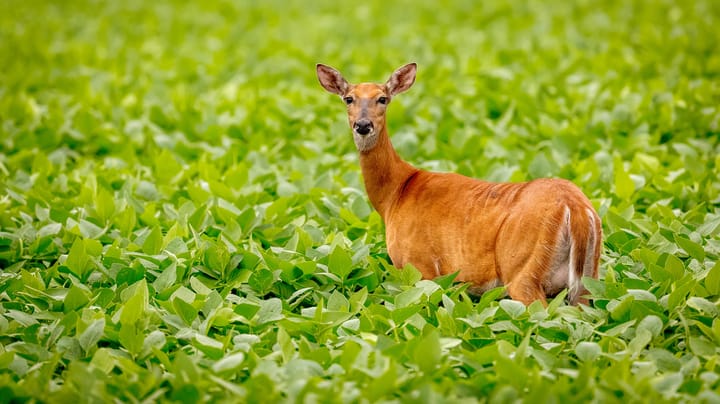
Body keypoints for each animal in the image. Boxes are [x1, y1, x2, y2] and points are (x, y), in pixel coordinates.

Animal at [316, 63, 602, 306]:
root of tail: (575, 209)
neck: (395, 195)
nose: (363, 125)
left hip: (522, 270)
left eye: (382, 98)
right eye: (348, 98)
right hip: (588, 280)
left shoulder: (419, 266)